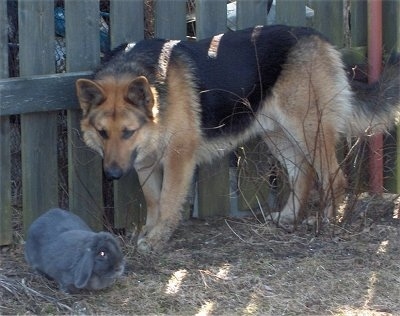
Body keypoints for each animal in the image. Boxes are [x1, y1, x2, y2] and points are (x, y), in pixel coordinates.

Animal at [76, 24, 398, 252]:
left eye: (128, 132)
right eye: (103, 133)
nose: (112, 174)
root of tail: (319, 38)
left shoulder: (178, 158)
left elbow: (167, 201)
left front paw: (157, 239)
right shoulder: (145, 162)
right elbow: (153, 201)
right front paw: (149, 231)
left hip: (308, 130)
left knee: (334, 177)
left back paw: (327, 222)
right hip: (276, 134)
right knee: (302, 174)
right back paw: (288, 217)